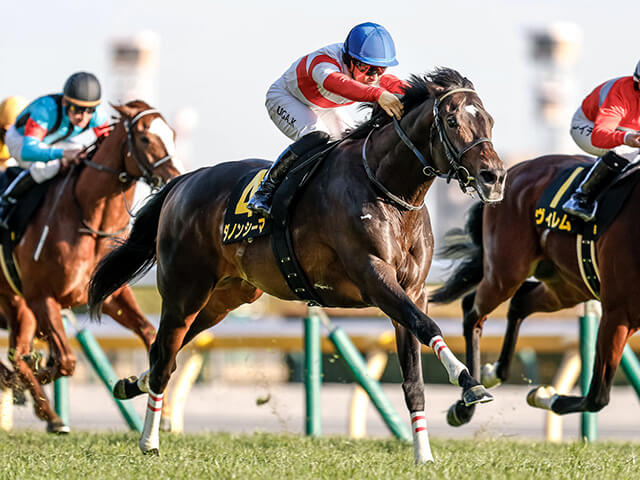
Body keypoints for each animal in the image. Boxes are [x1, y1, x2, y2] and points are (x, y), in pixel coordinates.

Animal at [0, 100, 183, 432]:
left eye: (173, 134)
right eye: (145, 138)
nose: (175, 175)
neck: (87, 222)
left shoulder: (108, 294)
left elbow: (149, 331)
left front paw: (161, 415)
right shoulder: (41, 297)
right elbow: (66, 361)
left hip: (15, 303)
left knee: (16, 353)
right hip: (20, 303)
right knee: (17, 356)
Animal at [88, 68, 506, 462]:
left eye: (489, 120)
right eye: (451, 120)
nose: (494, 176)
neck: (387, 190)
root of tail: (184, 181)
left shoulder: (412, 292)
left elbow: (415, 377)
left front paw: (424, 455)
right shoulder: (374, 277)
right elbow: (428, 326)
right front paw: (469, 383)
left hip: (226, 297)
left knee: (172, 348)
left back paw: (133, 383)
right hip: (184, 289)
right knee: (163, 354)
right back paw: (149, 441)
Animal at [430, 153, 640, 427]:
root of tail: (515, 170)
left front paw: (542, 394)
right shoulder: (618, 312)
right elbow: (597, 397)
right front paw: (544, 395)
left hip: (568, 285)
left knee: (520, 301)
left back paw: (492, 373)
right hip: (505, 273)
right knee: (472, 310)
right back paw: (466, 404)